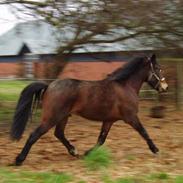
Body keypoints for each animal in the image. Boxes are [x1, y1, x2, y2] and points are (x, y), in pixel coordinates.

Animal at [10, 53, 168, 165]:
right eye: (158, 68)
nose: (165, 88)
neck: (125, 86)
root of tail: (49, 86)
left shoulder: (109, 120)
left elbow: (101, 139)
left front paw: (87, 153)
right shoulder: (131, 117)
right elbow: (144, 132)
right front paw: (156, 150)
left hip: (63, 117)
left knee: (59, 133)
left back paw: (74, 151)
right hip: (51, 117)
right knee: (34, 135)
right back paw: (19, 160)